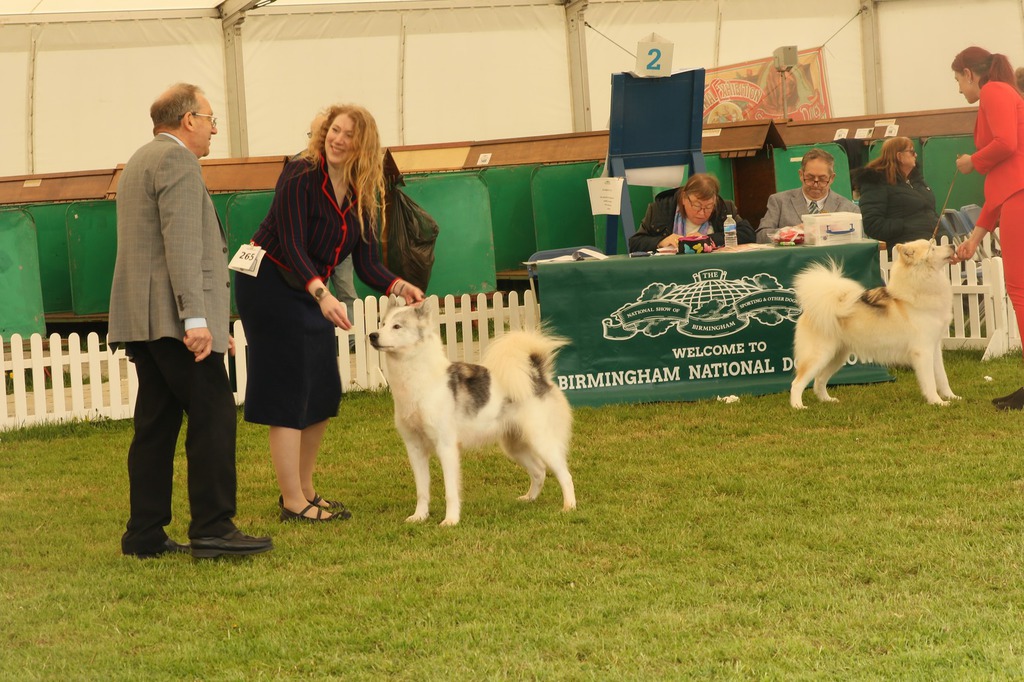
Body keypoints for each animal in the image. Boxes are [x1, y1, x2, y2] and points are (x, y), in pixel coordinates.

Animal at [368, 300, 576, 526]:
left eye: (397, 326)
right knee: (539, 471)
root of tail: (537, 375)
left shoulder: (446, 448)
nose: (372, 335)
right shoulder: (415, 449)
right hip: (514, 446)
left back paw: (569, 507)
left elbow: (450, 492)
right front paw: (420, 516)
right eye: (382, 323)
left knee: (565, 475)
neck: (418, 381)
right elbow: (422, 491)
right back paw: (529, 499)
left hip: (541, 441)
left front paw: (451, 520)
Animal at [790, 239, 959, 408]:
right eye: (932, 249)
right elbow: (930, 382)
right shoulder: (923, 351)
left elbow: (942, 378)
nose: (953, 245)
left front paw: (951, 397)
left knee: (819, 380)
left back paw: (827, 400)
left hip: (836, 357)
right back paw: (798, 406)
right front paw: (937, 402)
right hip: (819, 356)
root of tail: (812, 310)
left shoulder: (934, 349)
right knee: (797, 383)